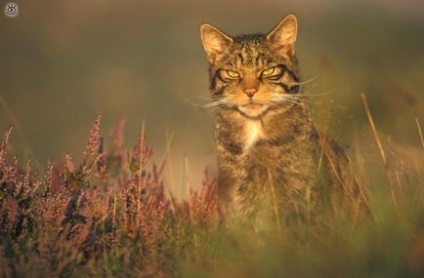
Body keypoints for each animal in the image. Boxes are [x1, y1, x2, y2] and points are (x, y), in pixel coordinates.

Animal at [200, 14, 368, 229]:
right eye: (233, 74)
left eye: (268, 71)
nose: (250, 91)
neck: (255, 131)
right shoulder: (236, 195)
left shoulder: (298, 194)